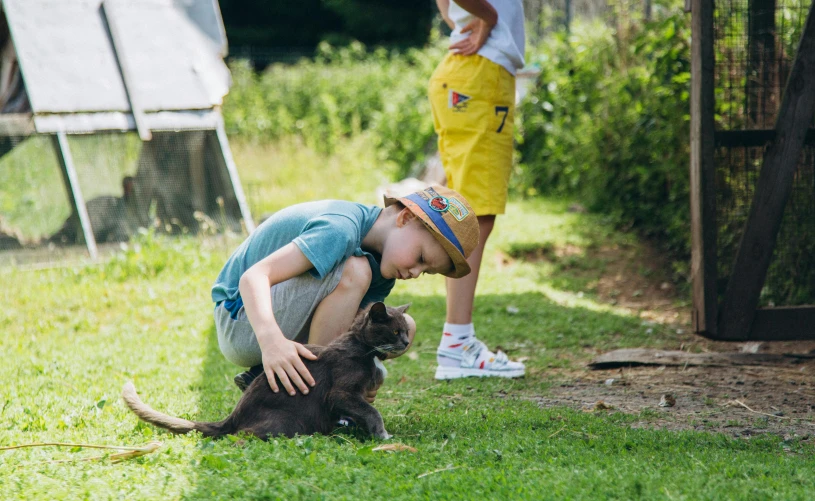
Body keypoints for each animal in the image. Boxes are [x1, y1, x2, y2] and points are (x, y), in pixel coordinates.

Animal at [122, 300, 412, 438]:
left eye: (407, 330)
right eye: (395, 331)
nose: (408, 342)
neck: (366, 350)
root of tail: (233, 417)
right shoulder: (342, 391)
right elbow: (371, 411)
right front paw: (382, 434)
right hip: (287, 420)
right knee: (243, 436)